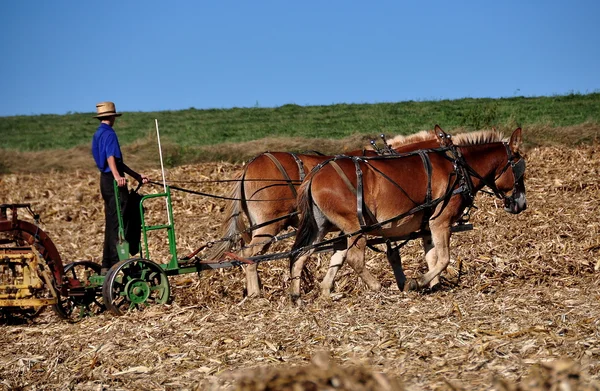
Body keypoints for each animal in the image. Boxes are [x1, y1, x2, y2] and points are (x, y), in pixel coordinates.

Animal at [206, 129, 446, 298]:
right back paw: (256, 294)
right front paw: (414, 282)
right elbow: (396, 252)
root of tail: (249, 166)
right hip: (269, 224)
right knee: (250, 253)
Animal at [288, 125, 528, 300]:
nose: (522, 204)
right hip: (354, 227)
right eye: (520, 168)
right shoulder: (440, 221)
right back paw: (376, 286)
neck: (458, 168)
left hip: (323, 225)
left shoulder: (427, 227)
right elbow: (443, 258)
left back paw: (305, 295)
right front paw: (417, 282)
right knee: (353, 258)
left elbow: (432, 256)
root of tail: (315, 174)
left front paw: (433, 285)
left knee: (305, 254)